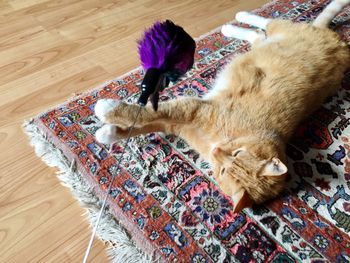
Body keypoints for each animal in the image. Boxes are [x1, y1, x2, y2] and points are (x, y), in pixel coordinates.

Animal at [93, 0, 350, 213]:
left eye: (226, 169)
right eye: (236, 154)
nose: (217, 152)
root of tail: (340, 45)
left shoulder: (180, 121)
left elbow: (146, 121)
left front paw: (108, 130)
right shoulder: (191, 109)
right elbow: (144, 114)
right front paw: (108, 112)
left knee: (258, 35)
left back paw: (230, 26)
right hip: (281, 30)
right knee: (264, 25)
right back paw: (237, 19)